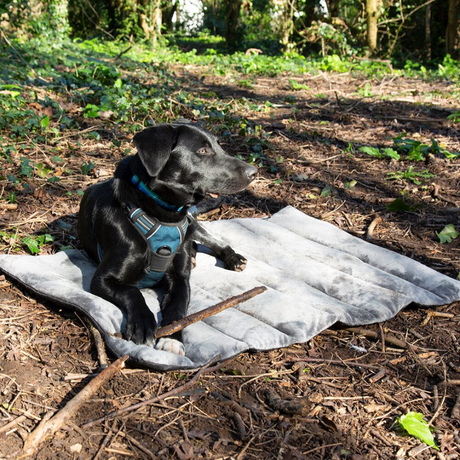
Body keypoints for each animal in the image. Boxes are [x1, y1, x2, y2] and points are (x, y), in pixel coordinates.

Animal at [79, 119, 258, 356]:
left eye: (219, 146)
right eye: (203, 150)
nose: (254, 172)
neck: (161, 213)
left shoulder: (181, 280)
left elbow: (178, 308)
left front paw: (171, 338)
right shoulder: (101, 279)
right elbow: (132, 292)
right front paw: (142, 323)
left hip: (191, 225)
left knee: (208, 238)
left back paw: (231, 257)